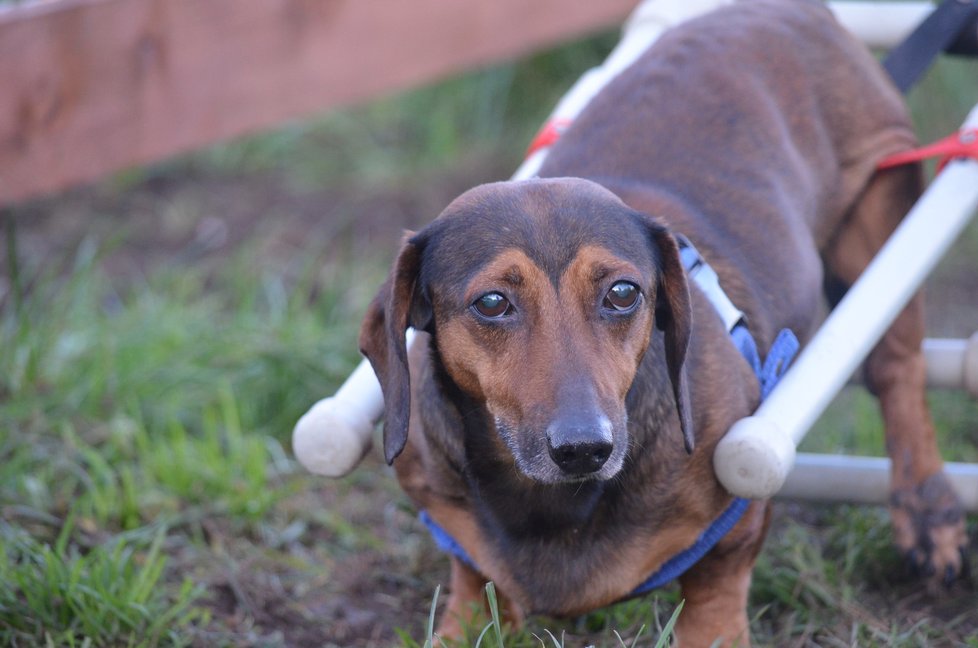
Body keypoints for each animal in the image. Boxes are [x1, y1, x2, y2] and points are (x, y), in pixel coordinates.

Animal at [356, 2, 960, 644]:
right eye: (491, 303)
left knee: (898, 369)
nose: (584, 448)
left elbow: (715, 589)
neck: (552, 506)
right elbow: (472, 578)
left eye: (623, 293)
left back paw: (928, 509)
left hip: (881, 212)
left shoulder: (736, 516)